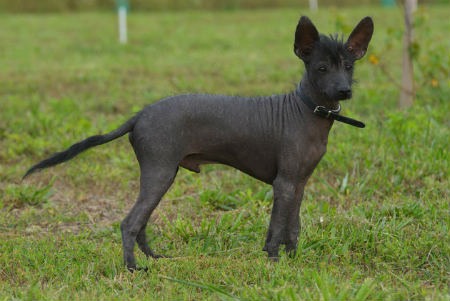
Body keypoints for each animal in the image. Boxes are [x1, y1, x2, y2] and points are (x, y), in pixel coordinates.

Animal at [26, 15, 374, 270]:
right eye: (321, 68)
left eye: (349, 66)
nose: (344, 90)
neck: (306, 110)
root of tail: (139, 115)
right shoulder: (284, 184)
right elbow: (277, 227)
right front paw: (275, 263)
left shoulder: (298, 184)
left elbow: (293, 226)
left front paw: (293, 259)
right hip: (161, 172)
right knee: (129, 223)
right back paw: (132, 268)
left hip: (161, 176)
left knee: (141, 222)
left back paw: (154, 258)